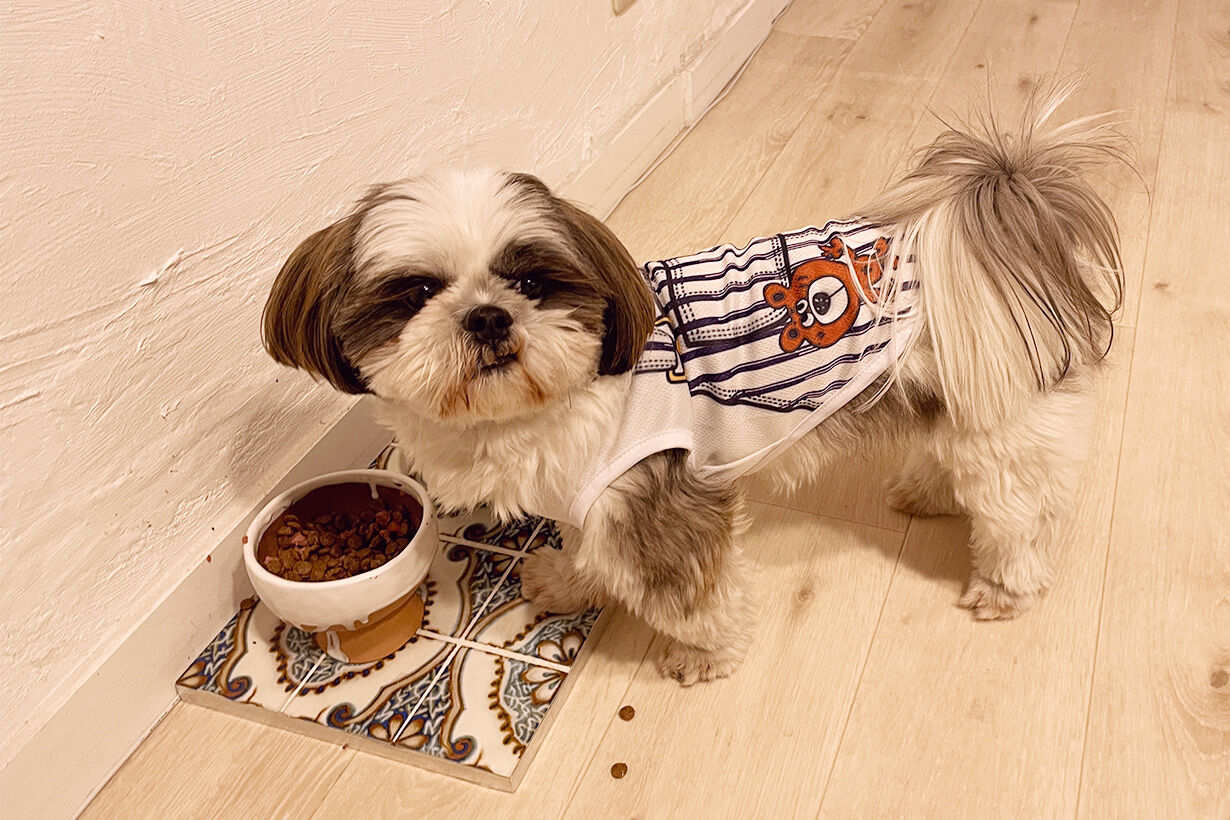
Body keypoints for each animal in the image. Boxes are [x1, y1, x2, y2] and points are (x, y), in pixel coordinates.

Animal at [262, 84, 1125, 685]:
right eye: (414, 294)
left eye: (533, 282)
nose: (487, 317)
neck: (546, 405)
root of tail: (1010, 229)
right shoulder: (591, 503)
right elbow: (583, 552)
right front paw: (566, 580)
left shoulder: (653, 503)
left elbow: (693, 596)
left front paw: (708, 656)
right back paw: (924, 491)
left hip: (1002, 423)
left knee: (1017, 516)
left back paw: (1005, 587)